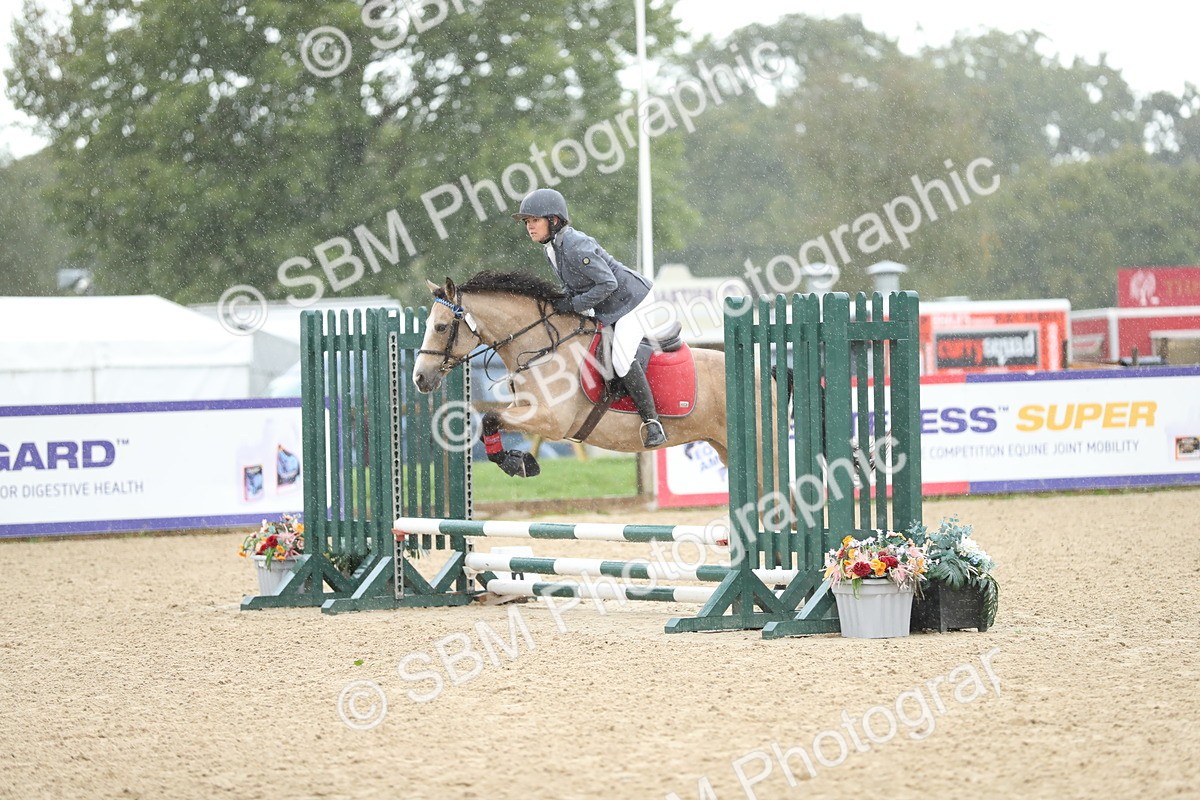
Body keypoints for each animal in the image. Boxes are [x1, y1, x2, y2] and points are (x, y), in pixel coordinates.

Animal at [412, 271, 730, 477]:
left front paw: (515, 463)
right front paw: (519, 461)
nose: (419, 378)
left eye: (440, 327)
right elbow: (490, 420)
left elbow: (490, 417)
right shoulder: (524, 409)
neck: (544, 347)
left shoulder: (552, 421)